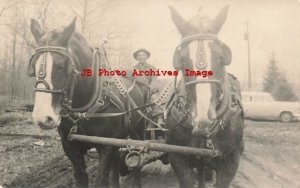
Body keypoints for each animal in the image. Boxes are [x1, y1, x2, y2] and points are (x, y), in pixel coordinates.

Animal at [28, 18, 149, 188]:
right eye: (33, 66)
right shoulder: (70, 146)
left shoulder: (106, 145)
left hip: (139, 127)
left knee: (138, 154)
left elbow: (101, 180)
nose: (42, 118)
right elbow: (81, 177)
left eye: (60, 66)